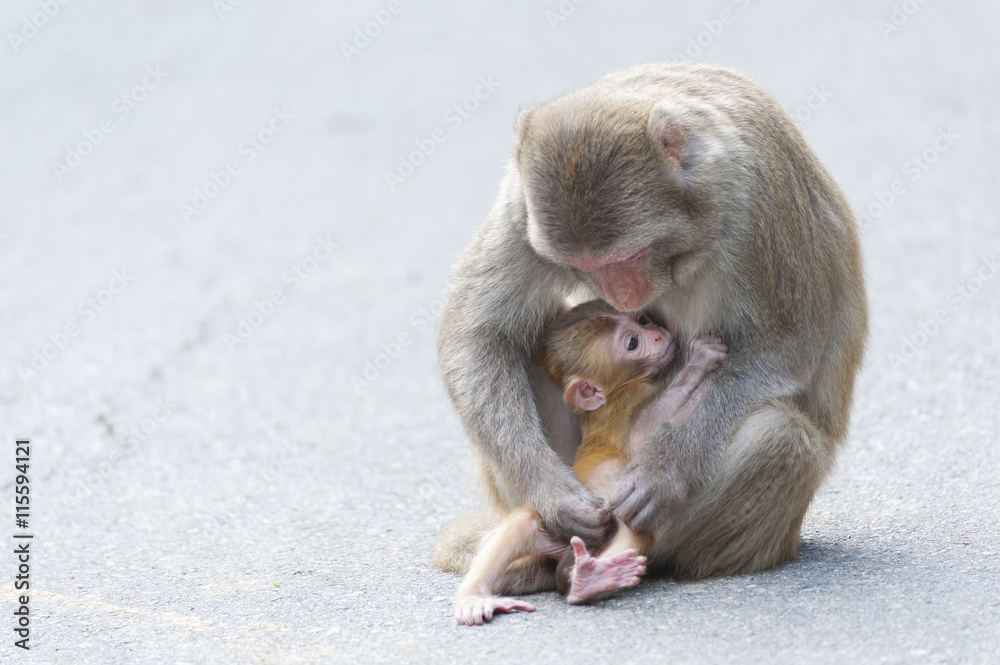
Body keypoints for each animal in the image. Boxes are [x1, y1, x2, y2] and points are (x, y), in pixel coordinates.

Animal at [433, 62, 867, 588]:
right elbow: (479, 335)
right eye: (581, 264)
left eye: (631, 255)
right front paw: (552, 494)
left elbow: (785, 348)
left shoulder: (760, 201)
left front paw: (667, 469)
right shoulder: (521, 203)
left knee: (779, 435)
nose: (621, 297)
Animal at [452, 300, 728, 625]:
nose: (658, 334)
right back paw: (475, 596)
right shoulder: (622, 402)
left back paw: (588, 581)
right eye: (632, 343)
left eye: (643, 320)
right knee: (529, 522)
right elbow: (641, 432)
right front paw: (698, 361)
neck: (622, 386)